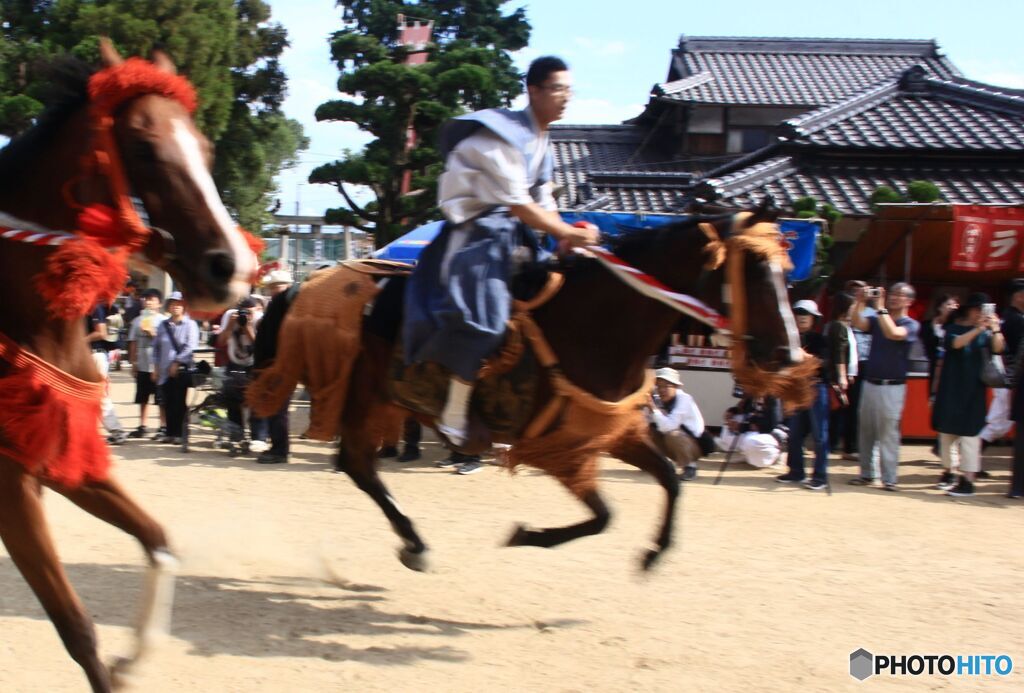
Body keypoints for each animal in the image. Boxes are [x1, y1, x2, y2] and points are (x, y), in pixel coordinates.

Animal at [0, 40, 256, 687]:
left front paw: (134, 657)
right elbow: (77, 629)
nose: (233, 267)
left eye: (206, 148)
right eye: (142, 146)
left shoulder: (63, 460)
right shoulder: (11, 486)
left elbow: (160, 542)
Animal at [251, 199, 811, 573]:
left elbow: (667, 482)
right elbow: (604, 515)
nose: (788, 354)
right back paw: (417, 539)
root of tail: (308, 281)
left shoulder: (609, 432)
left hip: (371, 396)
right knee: (358, 464)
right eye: (753, 268)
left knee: (358, 465)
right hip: (360, 391)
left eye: (784, 270)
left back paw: (413, 539)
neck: (597, 325)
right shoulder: (561, 447)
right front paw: (528, 536)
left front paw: (654, 553)